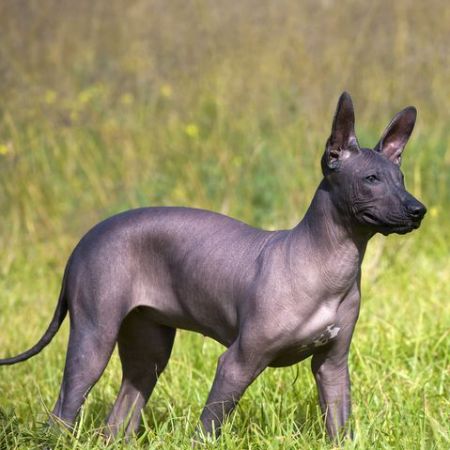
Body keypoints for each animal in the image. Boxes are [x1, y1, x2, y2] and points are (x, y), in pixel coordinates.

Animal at [0, 93, 426, 442]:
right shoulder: (237, 363)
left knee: (118, 420)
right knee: (62, 413)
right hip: (93, 339)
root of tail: (85, 239)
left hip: (148, 352)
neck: (327, 264)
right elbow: (208, 429)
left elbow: (339, 427)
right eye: (371, 179)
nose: (417, 210)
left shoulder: (333, 366)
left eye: (401, 178)